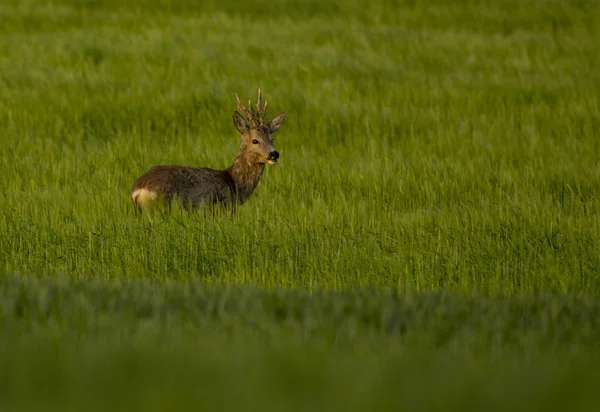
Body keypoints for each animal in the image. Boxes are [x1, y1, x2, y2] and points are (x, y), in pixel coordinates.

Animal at [132, 89, 286, 214]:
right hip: (165, 205)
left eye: (272, 138)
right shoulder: (224, 206)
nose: (274, 154)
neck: (234, 183)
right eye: (255, 140)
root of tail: (138, 190)